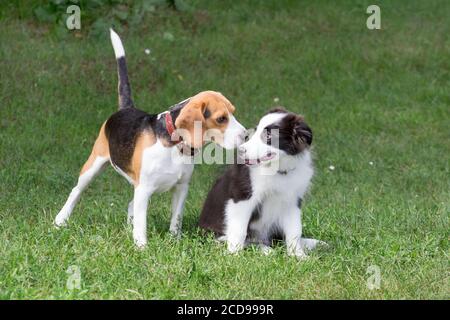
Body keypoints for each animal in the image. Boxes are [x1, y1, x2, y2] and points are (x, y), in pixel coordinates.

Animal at [55, 29, 246, 248]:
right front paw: (141, 247)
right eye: (221, 118)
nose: (246, 134)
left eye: (233, 112)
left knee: (130, 205)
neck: (173, 144)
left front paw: (173, 241)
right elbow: (142, 223)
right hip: (94, 165)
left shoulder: (181, 188)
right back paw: (61, 220)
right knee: (76, 192)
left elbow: (176, 219)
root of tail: (126, 108)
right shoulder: (144, 189)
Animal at [200, 109, 324, 258]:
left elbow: (294, 230)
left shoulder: (292, 201)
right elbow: (239, 230)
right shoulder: (242, 197)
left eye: (269, 135)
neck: (278, 171)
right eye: (256, 130)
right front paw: (234, 254)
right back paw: (264, 249)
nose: (240, 150)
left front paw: (298, 255)